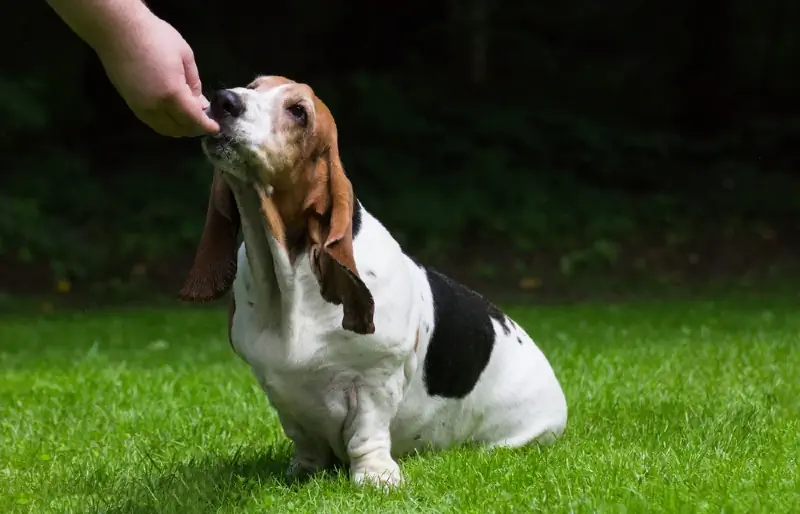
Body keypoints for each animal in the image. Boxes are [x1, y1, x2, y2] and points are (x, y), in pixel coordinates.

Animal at [181, 75, 568, 484]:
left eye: (299, 112)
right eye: (253, 85)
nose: (223, 101)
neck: (291, 269)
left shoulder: (375, 381)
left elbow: (366, 432)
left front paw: (376, 477)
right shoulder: (280, 390)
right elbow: (304, 437)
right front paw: (304, 471)